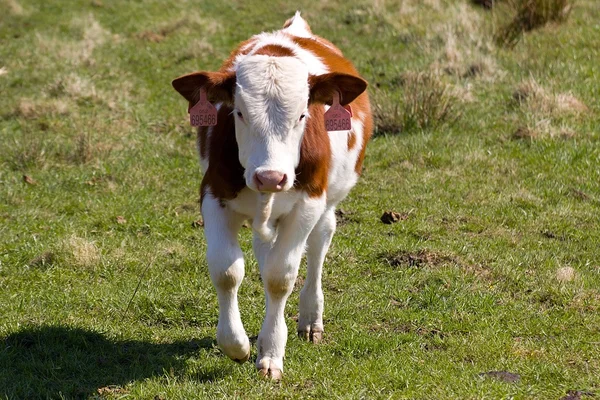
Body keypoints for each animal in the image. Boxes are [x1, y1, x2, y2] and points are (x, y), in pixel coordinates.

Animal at [171, 11, 372, 382]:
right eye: (238, 113)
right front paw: (236, 344)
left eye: (303, 115)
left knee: (319, 243)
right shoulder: (213, 196)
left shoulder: (309, 202)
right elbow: (227, 270)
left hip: (326, 203)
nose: (270, 177)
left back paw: (310, 319)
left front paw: (272, 353)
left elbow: (281, 277)